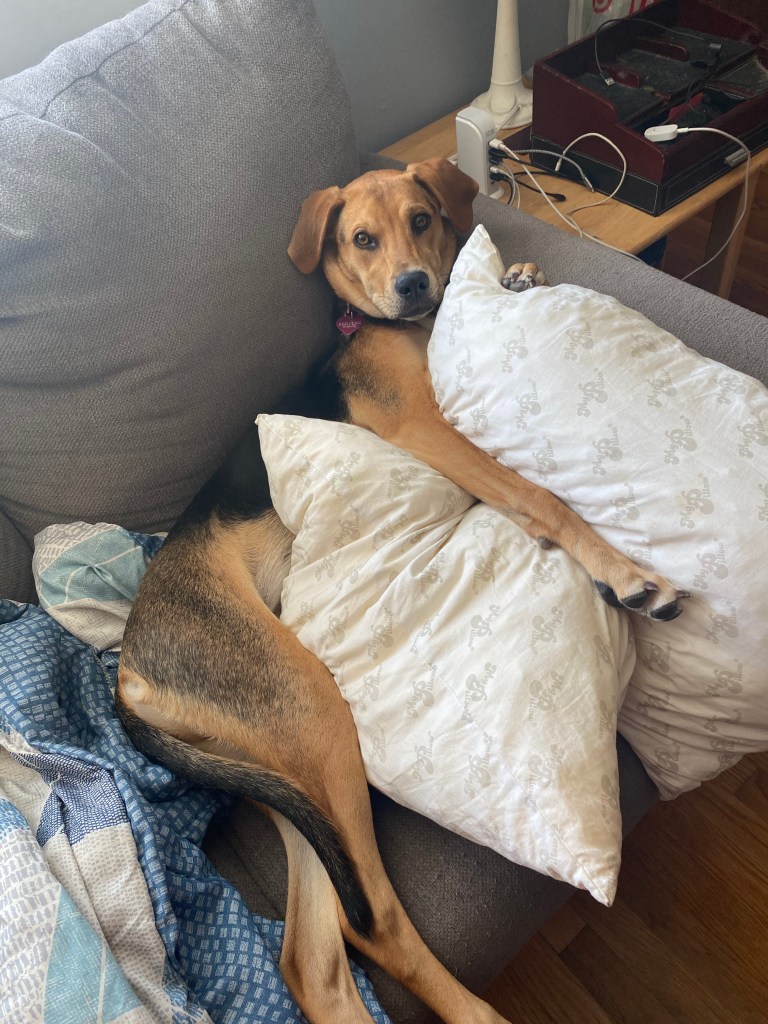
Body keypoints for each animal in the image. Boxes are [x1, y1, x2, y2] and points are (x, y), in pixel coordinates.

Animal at [116, 158, 686, 1024]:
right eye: (361, 238)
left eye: (422, 219)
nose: (415, 285)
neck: (392, 328)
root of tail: (126, 673)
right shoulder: (430, 430)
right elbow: (541, 497)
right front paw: (625, 573)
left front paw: (519, 275)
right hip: (311, 711)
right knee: (375, 921)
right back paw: (477, 1014)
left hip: (272, 775)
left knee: (315, 957)